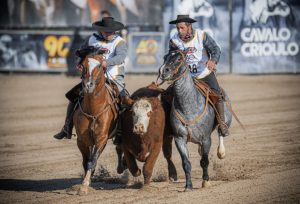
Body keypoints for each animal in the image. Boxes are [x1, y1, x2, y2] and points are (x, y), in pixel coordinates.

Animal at [73, 52, 119, 194]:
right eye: (83, 65)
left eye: (99, 65)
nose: (88, 85)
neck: (93, 109)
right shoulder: (81, 140)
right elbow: (86, 161)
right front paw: (86, 181)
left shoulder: (101, 138)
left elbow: (92, 160)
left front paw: (84, 186)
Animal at [159, 49, 232, 191]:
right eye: (165, 57)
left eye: (178, 59)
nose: (163, 70)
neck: (189, 107)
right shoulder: (179, 139)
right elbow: (186, 163)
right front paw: (188, 186)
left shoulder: (206, 139)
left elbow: (204, 161)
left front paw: (206, 181)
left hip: (225, 120)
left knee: (221, 132)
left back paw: (221, 151)